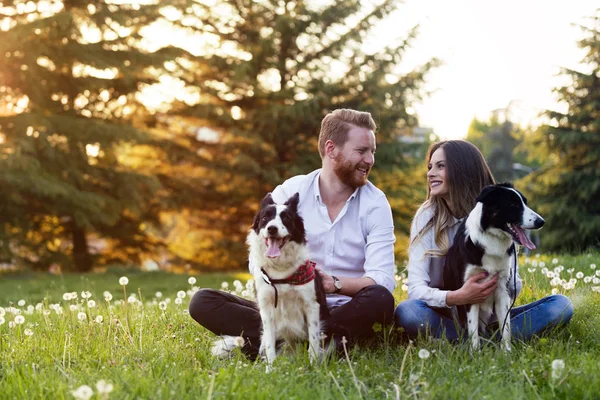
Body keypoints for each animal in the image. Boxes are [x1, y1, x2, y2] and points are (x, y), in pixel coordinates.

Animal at [440, 183, 544, 352]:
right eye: (514, 205)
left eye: (525, 202)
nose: (541, 221)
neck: (492, 237)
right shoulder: (468, 291)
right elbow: (472, 329)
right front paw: (475, 353)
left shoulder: (503, 288)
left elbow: (505, 327)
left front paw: (506, 352)